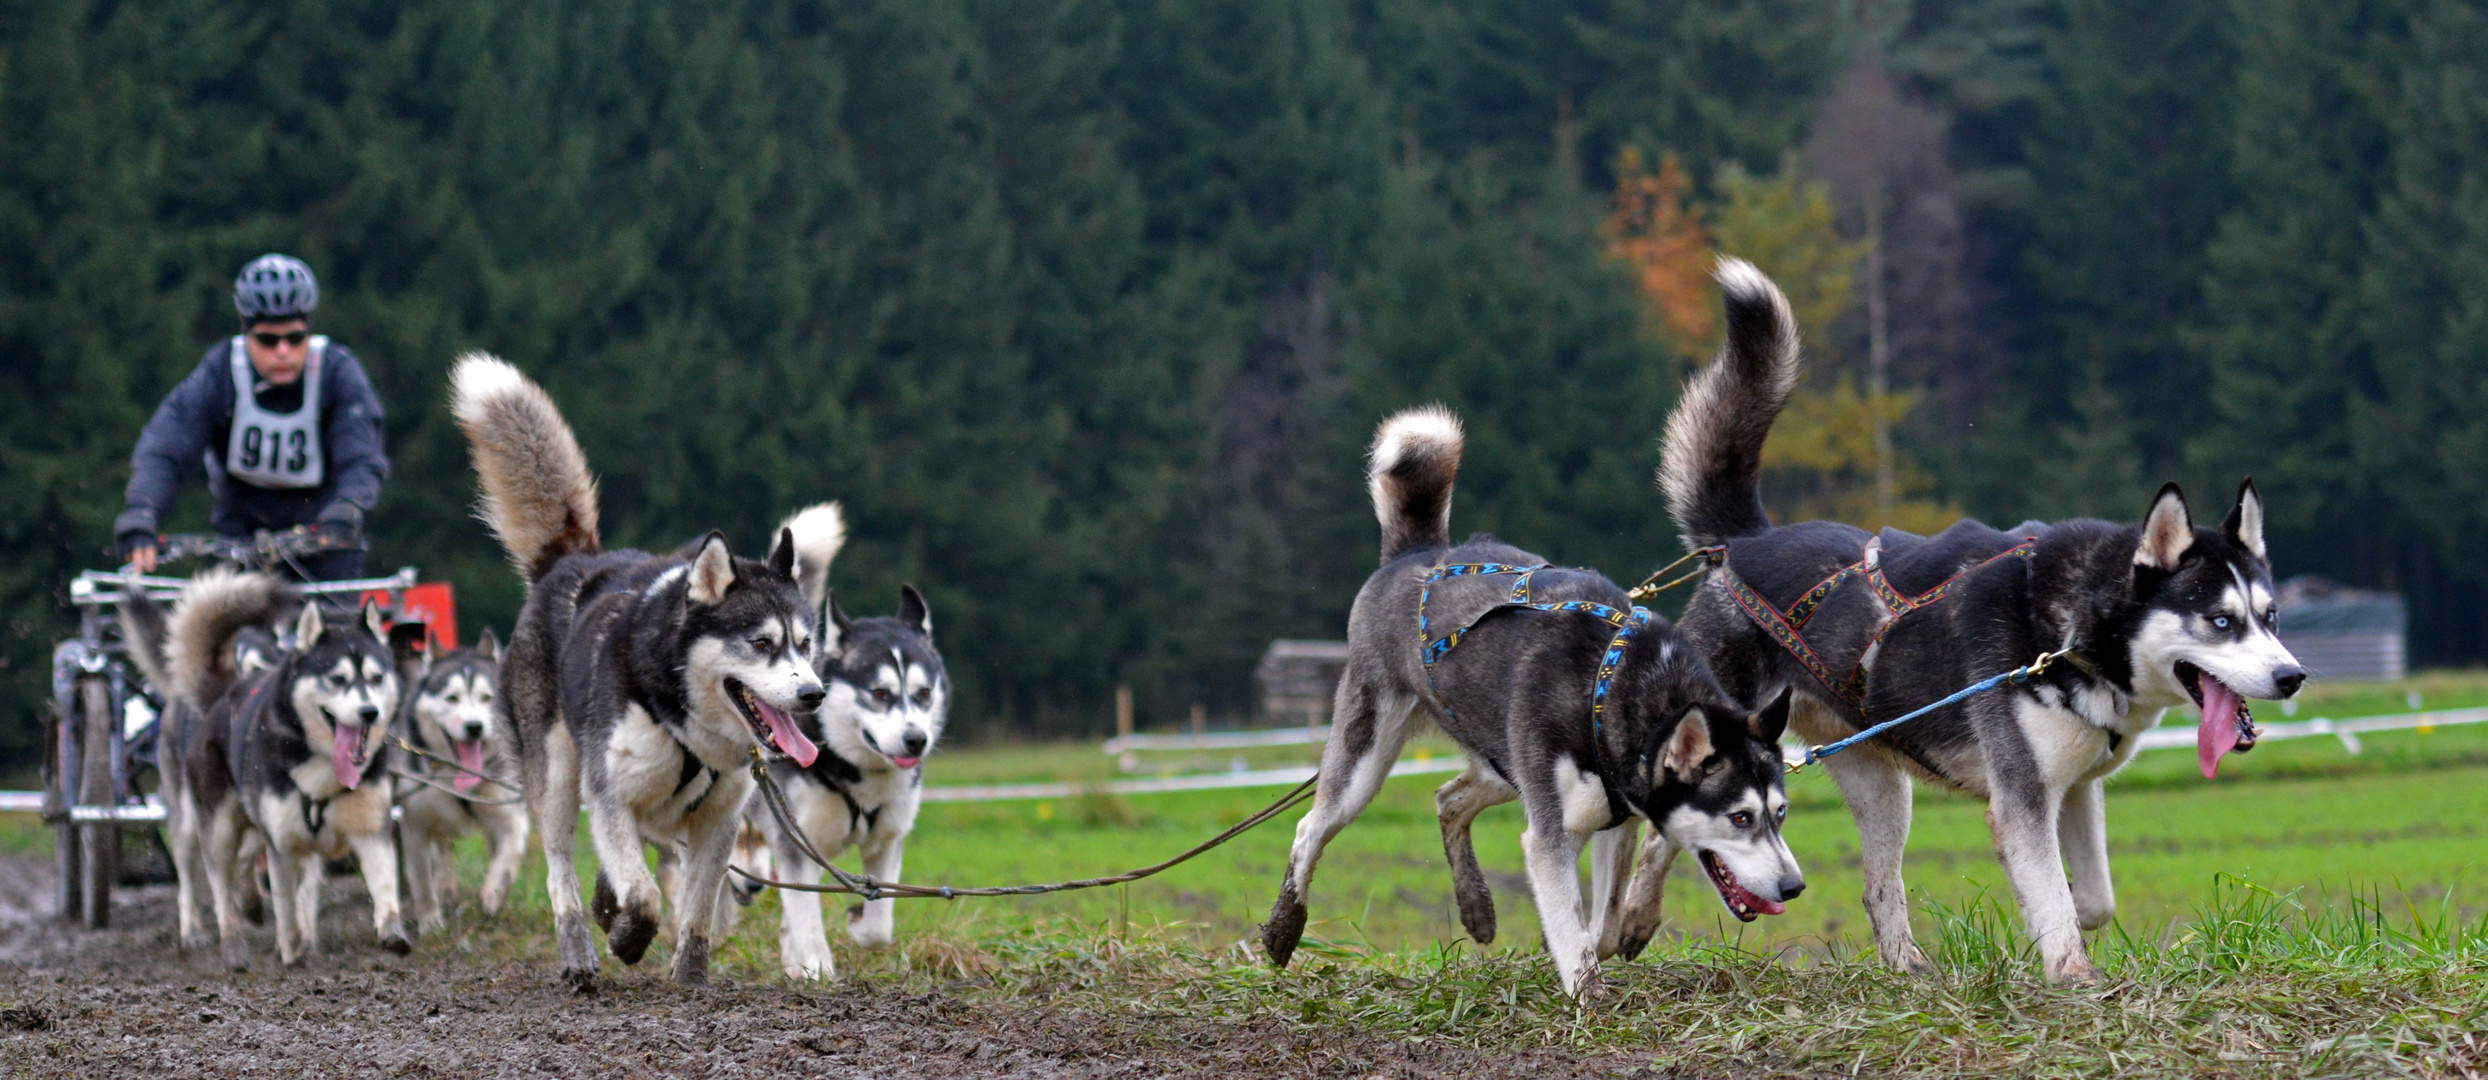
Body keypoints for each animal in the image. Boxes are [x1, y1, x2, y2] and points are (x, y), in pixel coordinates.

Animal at [450, 353, 835, 985]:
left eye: (805, 644)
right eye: (761, 643)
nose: (814, 695)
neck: (683, 720)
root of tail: (572, 560)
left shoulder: (720, 819)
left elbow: (698, 906)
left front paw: (690, 976)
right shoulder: (610, 794)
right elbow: (647, 894)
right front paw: (631, 938)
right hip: (558, 777)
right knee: (561, 870)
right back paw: (579, 948)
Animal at [1273, 408, 1801, 1005]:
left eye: (1781, 813)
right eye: (1741, 817)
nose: (1793, 885)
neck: (1610, 687)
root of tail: (1417, 554)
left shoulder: (1615, 820)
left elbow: (1603, 924)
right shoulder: (1551, 838)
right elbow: (1574, 931)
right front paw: (1587, 995)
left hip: (1503, 762)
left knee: (1448, 798)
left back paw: (1476, 906)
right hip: (1368, 761)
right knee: (1311, 827)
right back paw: (1283, 930)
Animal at [1652, 263, 2308, 985]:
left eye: (2270, 617)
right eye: (2220, 620)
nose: (2293, 676)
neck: (2068, 636)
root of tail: (1746, 542)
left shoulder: (2075, 790)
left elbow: (2093, 900)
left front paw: (2058, 923)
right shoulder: (2023, 800)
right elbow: (2054, 901)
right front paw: (2073, 977)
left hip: (1886, 790)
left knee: (1878, 887)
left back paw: (1908, 966)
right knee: (1658, 847)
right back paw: (1624, 929)